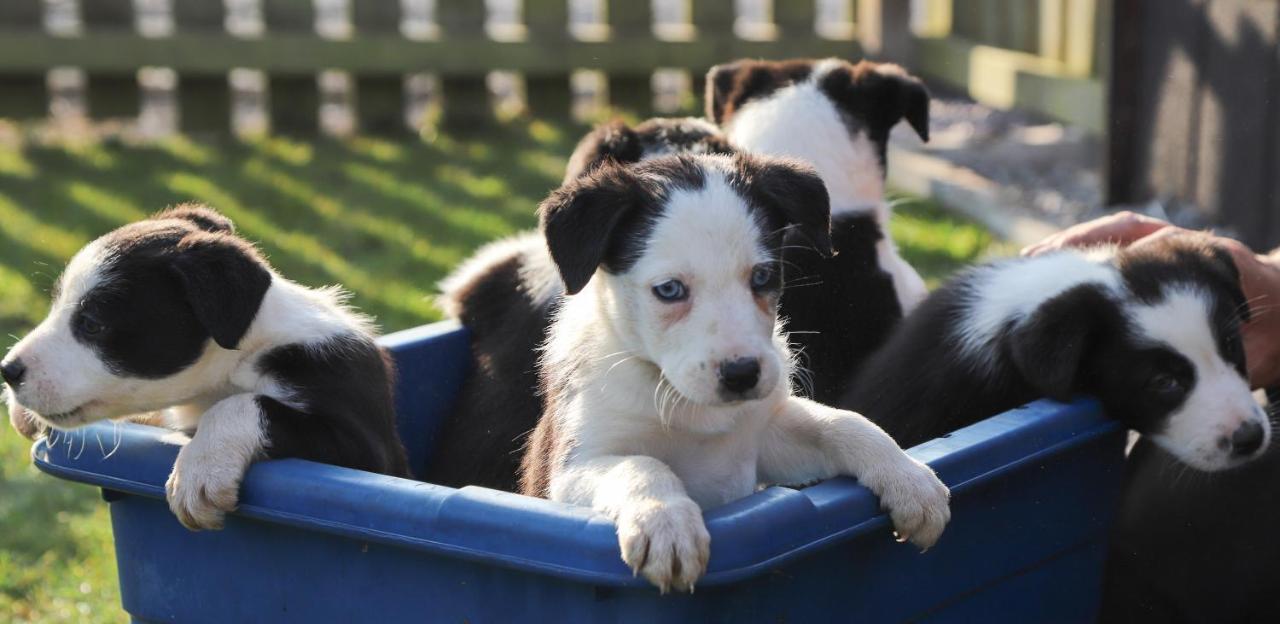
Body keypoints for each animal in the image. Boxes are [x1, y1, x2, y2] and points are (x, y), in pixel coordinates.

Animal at [1, 207, 409, 529]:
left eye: (91, 324)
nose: (7, 370)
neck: (238, 360)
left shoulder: (367, 452)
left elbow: (240, 405)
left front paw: (199, 470)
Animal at [519, 153, 952, 593]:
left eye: (762, 277)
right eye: (669, 290)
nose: (742, 374)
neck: (678, 396)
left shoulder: (764, 438)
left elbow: (842, 423)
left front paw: (908, 478)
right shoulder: (570, 469)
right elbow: (640, 465)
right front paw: (666, 524)